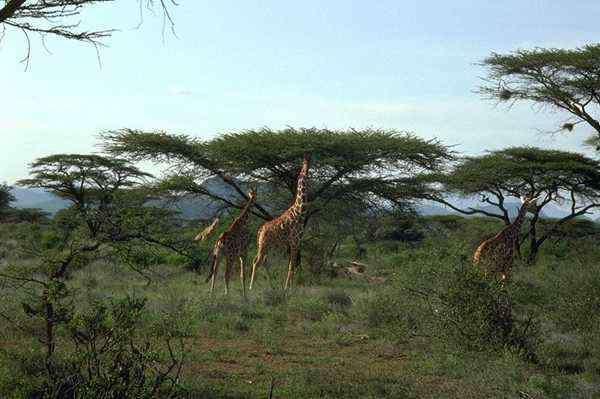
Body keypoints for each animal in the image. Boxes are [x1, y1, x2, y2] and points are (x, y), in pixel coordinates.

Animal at [251, 154, 312, 290]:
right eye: (305, 161)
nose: (306, 169)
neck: (300, 211)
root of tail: (259, 230)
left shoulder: (295, 242)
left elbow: (292, 265)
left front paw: (290, 286)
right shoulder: (294, 241)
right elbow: (291, 266)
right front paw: (288, 288)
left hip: (266, 245)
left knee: (263, 261)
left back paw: (271, 286)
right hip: (264, 244)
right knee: (257, 262)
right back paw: (251, 287)